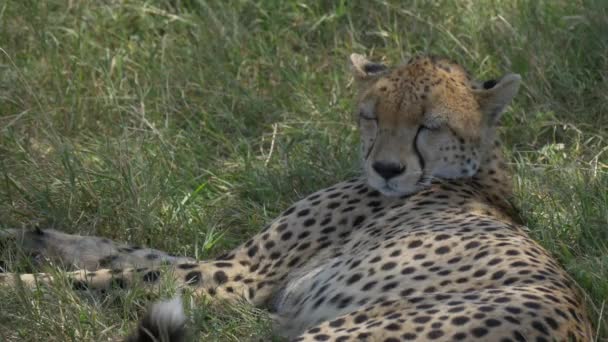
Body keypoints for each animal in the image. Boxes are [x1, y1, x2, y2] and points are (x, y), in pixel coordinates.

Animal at [0, 52, 592, 340]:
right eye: (372, 115)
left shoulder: (242, 275)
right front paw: (21, 235)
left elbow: (102, 277)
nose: (387, 168)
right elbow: (113, 250)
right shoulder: (239, 267)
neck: (472, 172)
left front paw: (14, 284)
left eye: (429, 124)